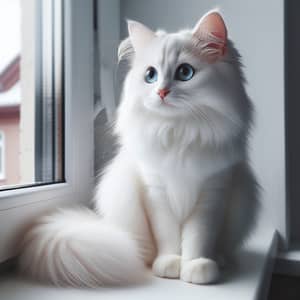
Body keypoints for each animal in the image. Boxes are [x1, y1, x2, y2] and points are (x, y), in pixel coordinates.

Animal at [18, 10, 258, 288]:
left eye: (185, 72)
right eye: (150, 75)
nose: (161, 91)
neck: (179, 131)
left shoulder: (213, 191)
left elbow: (198, 237)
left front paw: (196, 267)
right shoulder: (155, 190)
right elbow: (168, 235)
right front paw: (170, 264)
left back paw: (217, 260)